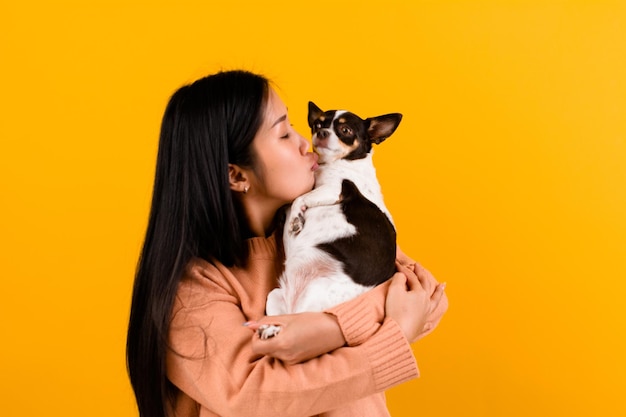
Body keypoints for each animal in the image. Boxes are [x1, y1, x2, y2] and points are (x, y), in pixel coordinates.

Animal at [260, 101, 402, 334]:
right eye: (317, 124)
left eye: (346, 130)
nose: (322, 132)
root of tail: (294, 306)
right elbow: (293, 198)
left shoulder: (335, 189)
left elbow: (299, 198)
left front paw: (295, 219)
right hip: (275, 295)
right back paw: (270, 328)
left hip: (315, 296)